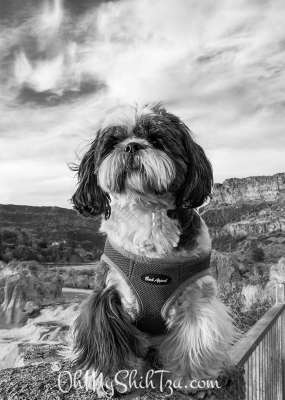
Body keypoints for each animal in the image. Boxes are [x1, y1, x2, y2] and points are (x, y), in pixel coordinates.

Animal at [70, 103, 234, 396]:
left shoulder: (197, 301)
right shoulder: (108, 296)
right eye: (113, 142)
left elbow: (194, 340)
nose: (131, 146)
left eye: (157, 140)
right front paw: (109, 377)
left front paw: (191, 380)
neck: (147, 212)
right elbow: (109, 341)